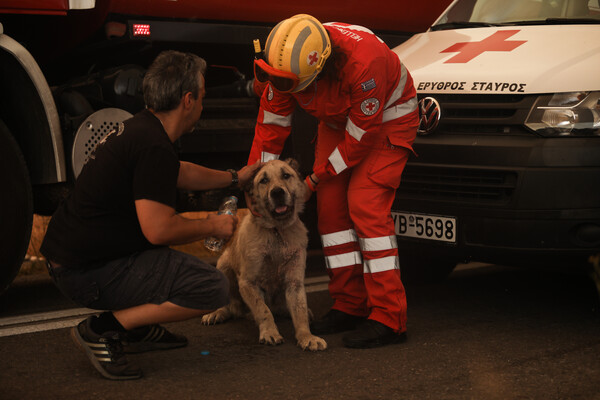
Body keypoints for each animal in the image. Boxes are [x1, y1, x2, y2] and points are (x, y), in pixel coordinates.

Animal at [202, 158, 326, 352]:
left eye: (286, 175)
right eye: (264, 180)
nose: (277, 192)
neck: (276, 231)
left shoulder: (295, 282)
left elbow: (299, 312)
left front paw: (306, 336)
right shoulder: (248, 283)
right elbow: (263, 310)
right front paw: (269, 332)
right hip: (223, 266)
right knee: (231, 306)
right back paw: (217, 313)